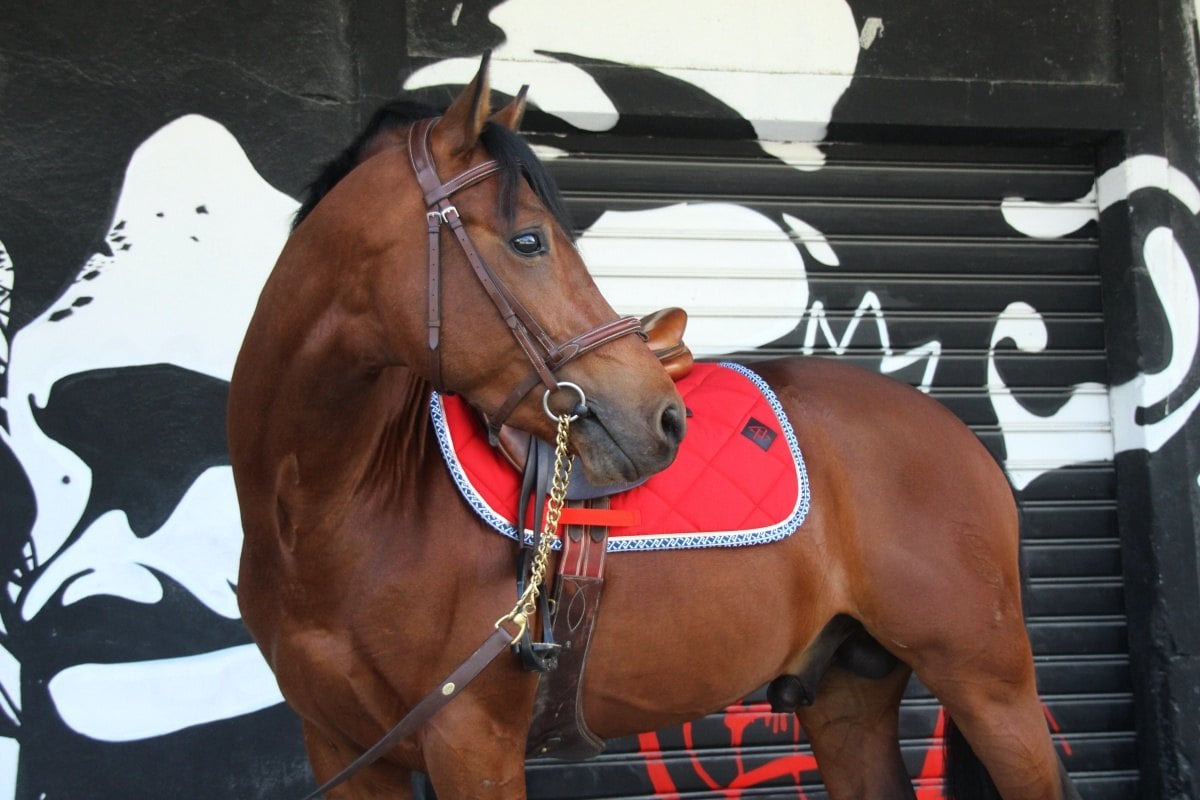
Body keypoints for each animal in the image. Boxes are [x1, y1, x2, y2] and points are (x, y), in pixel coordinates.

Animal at [227, 55, 1082, 800]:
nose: (664, 417)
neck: (332, 513)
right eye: (529, 239)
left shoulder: (472, 743)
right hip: (848, 694)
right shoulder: (343, 749)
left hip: (989, 684)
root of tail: (960, 437)